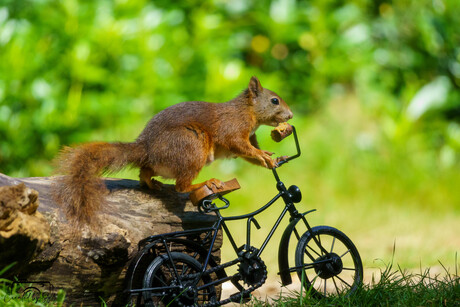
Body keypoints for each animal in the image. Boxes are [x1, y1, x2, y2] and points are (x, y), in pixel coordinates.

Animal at [52, 76, 292, 227]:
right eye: (274, 101)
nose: (290, 115)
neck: (248, 112)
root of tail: (146, 148)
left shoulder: (248, 138)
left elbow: (247, 153)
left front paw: (271, 159)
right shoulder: (232, 129)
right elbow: (239, 146)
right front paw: (262, 155)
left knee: (144, 172)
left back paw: (152, 183)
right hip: (192, 146)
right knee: (181, 186)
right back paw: (206, 182)